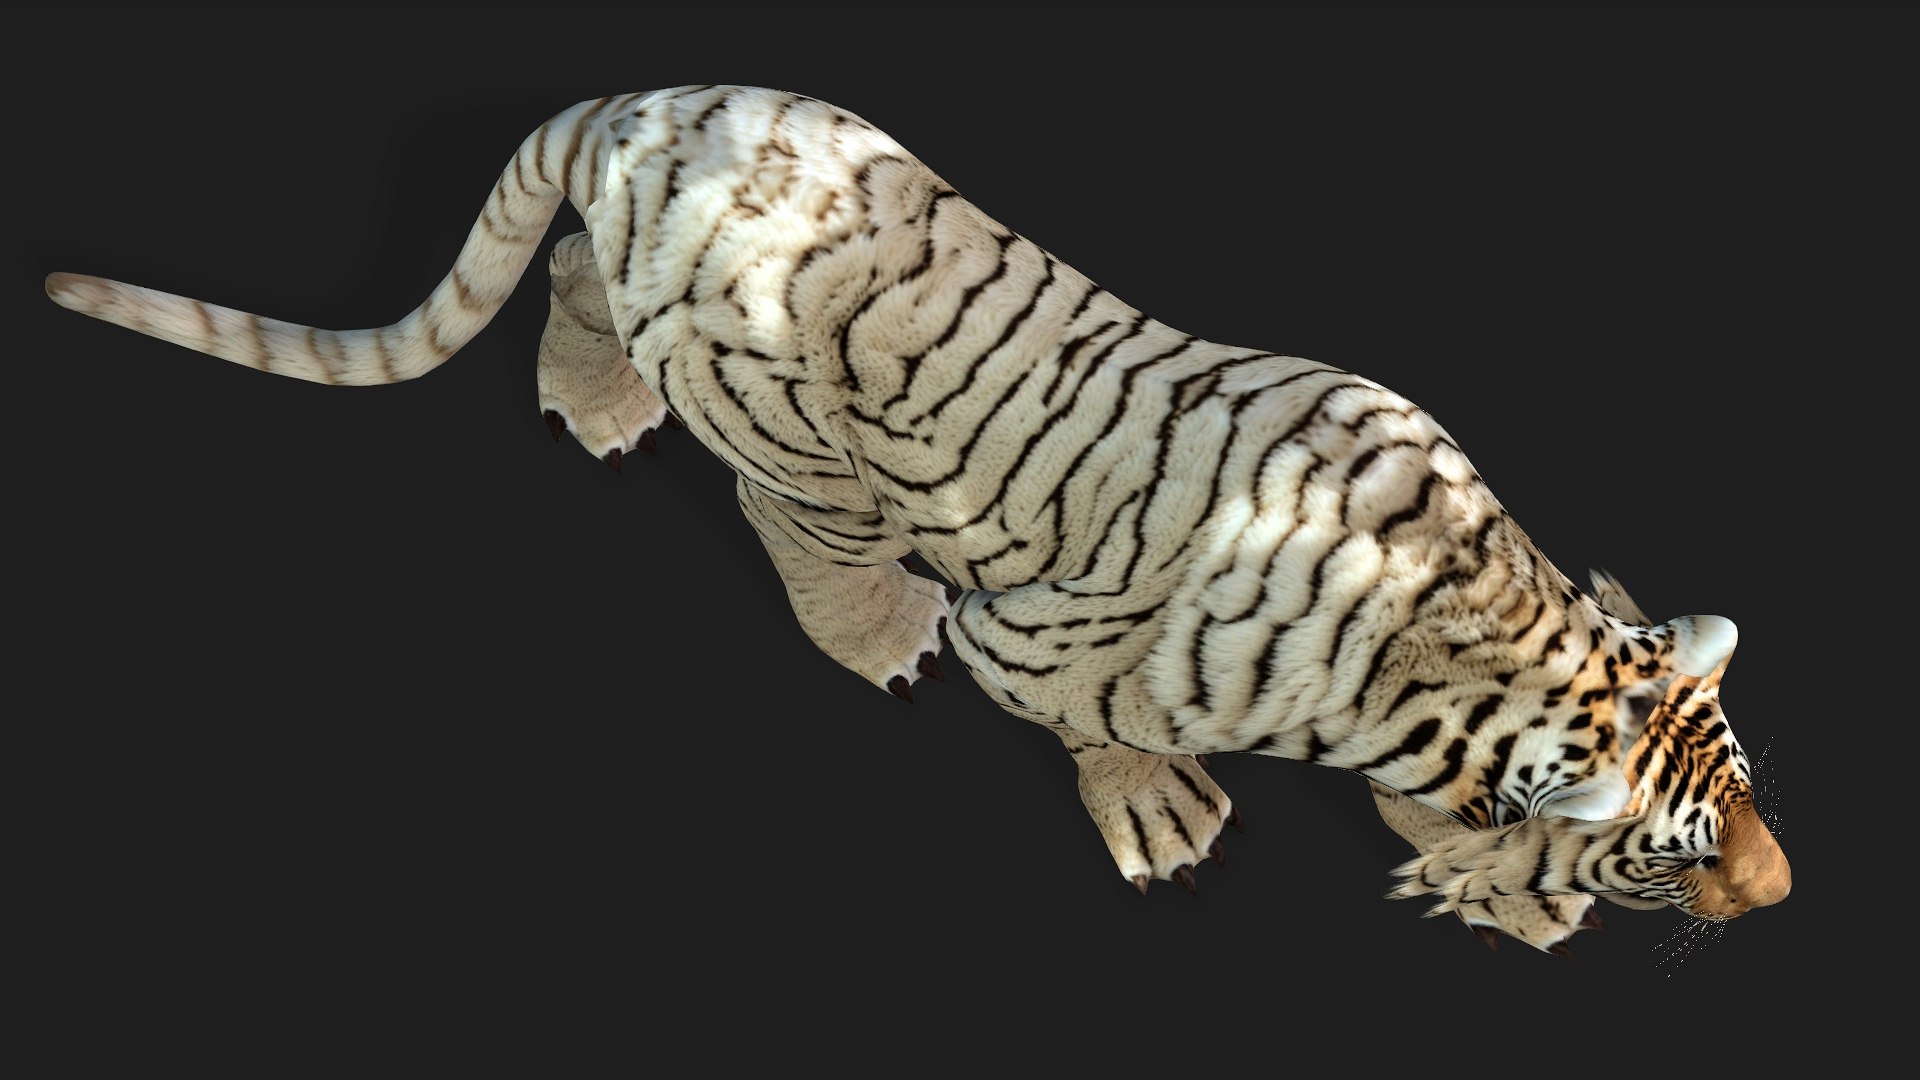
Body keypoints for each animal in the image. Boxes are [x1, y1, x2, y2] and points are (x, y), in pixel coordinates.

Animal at [43, 84, 1790, 958]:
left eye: (1750, 799)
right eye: (1677, 852)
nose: (1779, 896)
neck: (1479, 621)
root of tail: (641, 106)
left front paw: (1489, 873)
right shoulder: (1051, 645)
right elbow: (1095, 728)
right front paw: (1163, 815)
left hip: (654, 247)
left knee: (572, 273)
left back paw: (593, 403)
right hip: (784, 416)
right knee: (794, 509)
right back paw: (873, 623)